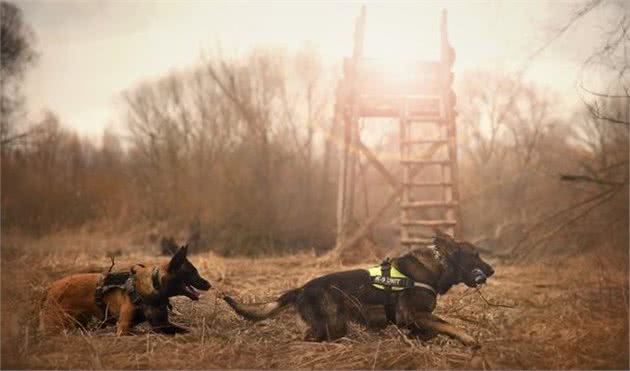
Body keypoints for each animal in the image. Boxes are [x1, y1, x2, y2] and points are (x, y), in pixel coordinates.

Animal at [39, 246, 212, 336]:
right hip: (56, 324)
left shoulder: (162, 324)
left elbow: (186, 330)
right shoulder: (124, 327)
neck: (153, 287)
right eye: (192, 273)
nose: (209, 284)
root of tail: (51, 289)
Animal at [225, 234, 496, 348]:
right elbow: (447, 324)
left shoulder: (414, 319)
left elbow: (433, 329)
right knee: (308, 338)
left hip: (335, 326)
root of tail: (301, 288)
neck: (438, 267)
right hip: (331, 324)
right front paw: (468, 339)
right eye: (475, 255)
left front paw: (420, 338)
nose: (492, 271)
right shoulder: (413, 314)